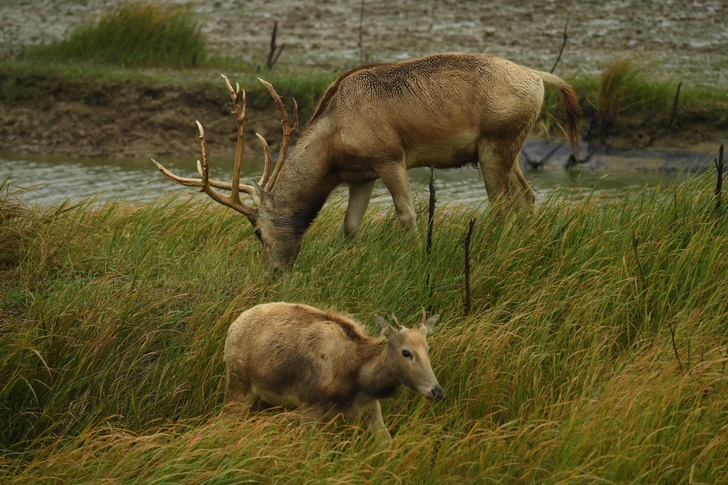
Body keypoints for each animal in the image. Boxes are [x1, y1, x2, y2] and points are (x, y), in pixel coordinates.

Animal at [152, 54, 580, 272]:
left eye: (257, 231)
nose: (274, 273)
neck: (333, 146)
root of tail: (540, 78)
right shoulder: (361, 174)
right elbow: (350, 225)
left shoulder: (389, 155)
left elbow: (407, 214)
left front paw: (418, 258)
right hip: (509, 148)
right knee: (527, 198)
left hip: (497, 142)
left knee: (502, 204)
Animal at [222, 302, 440, 438]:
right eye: (406, 352)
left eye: (428, 348)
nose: (437, 391)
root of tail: (232, 327)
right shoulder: (310, 404)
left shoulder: (371, 406)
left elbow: (386, 442)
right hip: (238, 388)